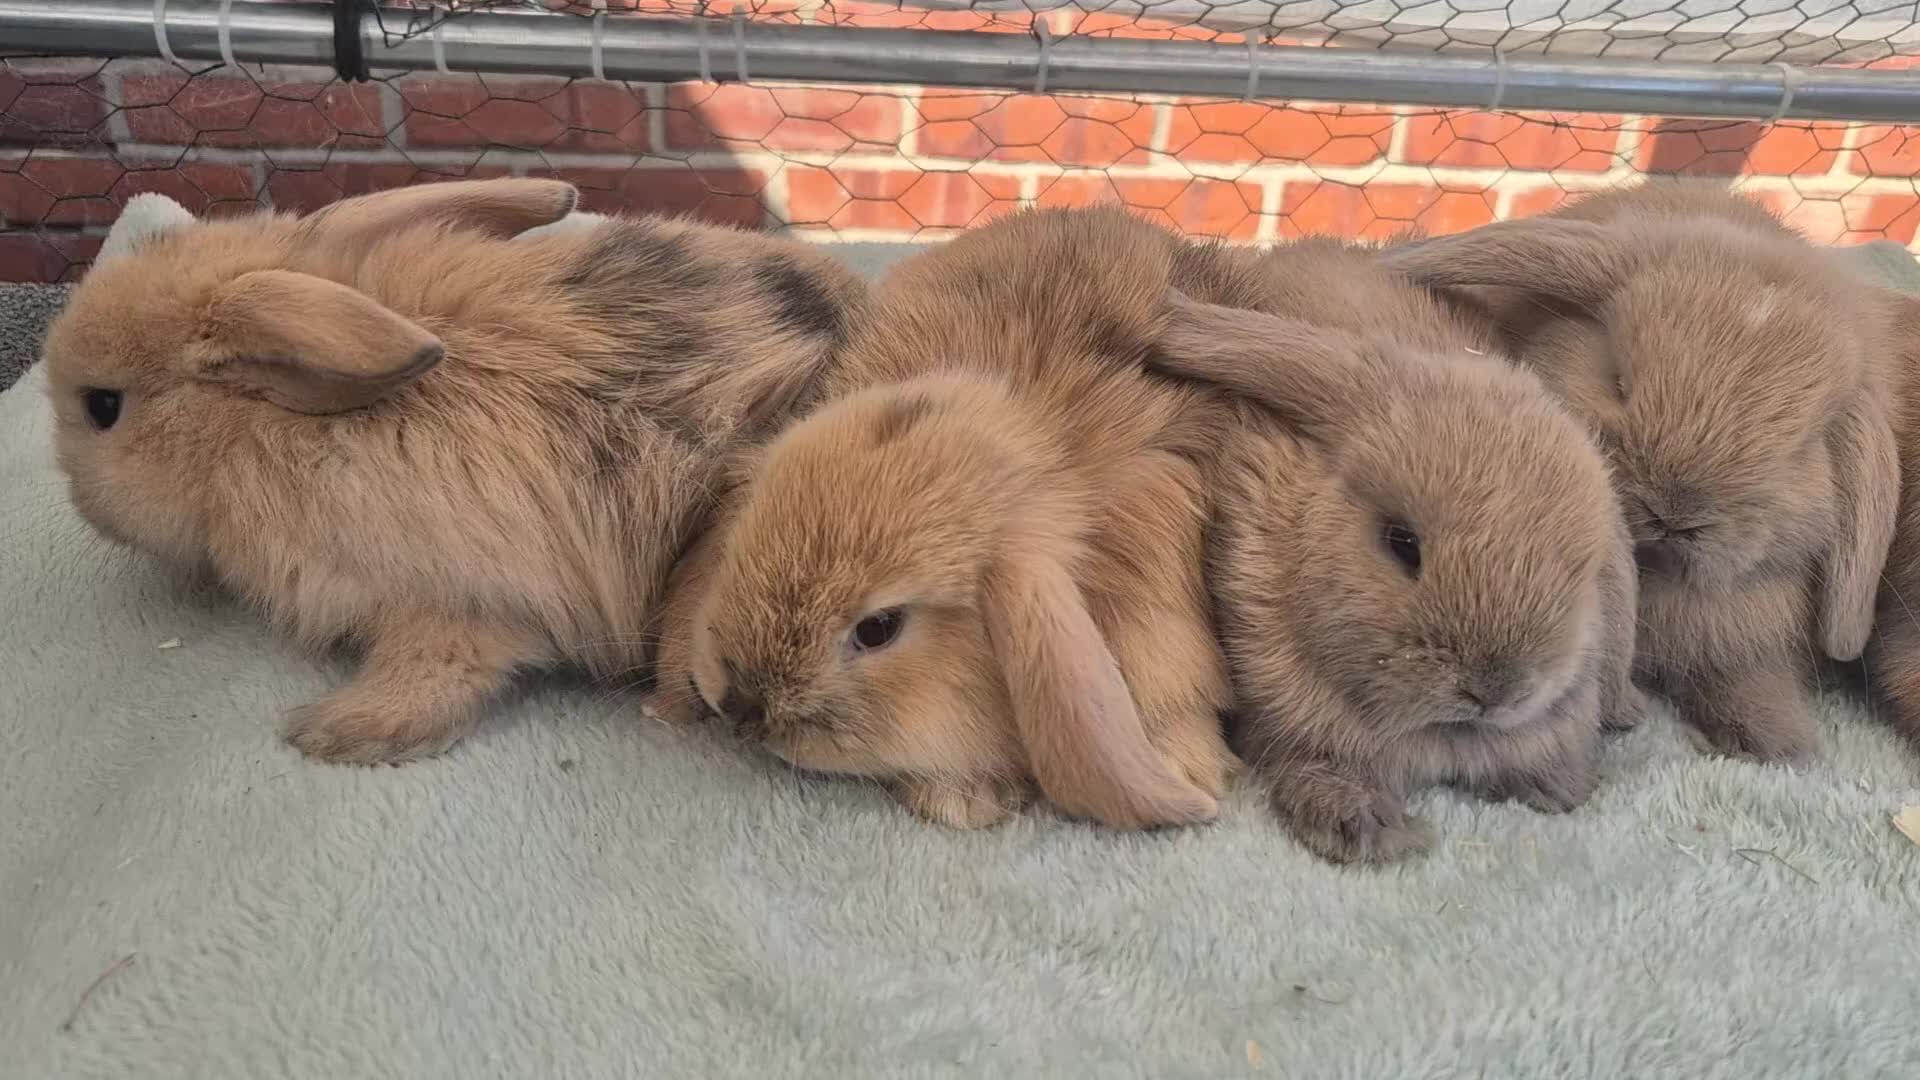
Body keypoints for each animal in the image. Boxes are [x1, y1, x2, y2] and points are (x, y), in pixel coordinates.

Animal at [40, 178, 866, 765]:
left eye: (103, 407)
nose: (82, 505)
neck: (262, 431)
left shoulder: (454, 608)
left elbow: (434, 677)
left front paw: (335, 733)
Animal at [1138, 238, 1640, 863]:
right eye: (1402, 543)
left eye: (1581, 573)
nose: (1494, 691)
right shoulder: (1294, 726)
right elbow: (1315, 767)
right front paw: (1372, 831)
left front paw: (1559, 788)